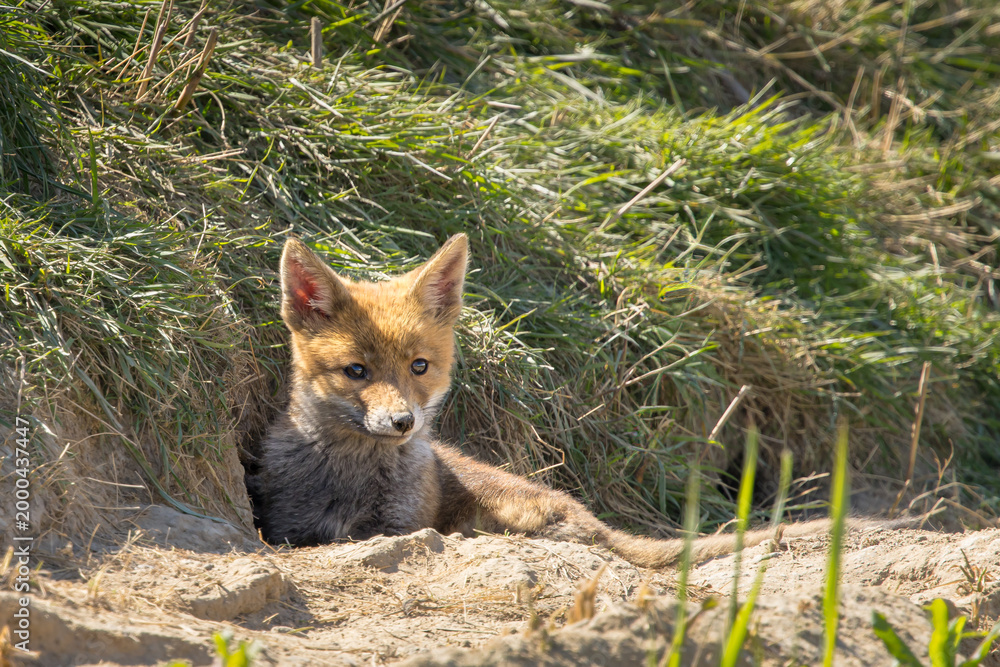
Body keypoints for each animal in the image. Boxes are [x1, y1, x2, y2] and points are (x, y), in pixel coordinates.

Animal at [254, 234, 855, 567]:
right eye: (357, 371)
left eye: (418, 367)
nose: (403, 422)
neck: (352, 480)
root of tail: (596, 521)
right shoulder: (288, 526)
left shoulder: (404, 526)